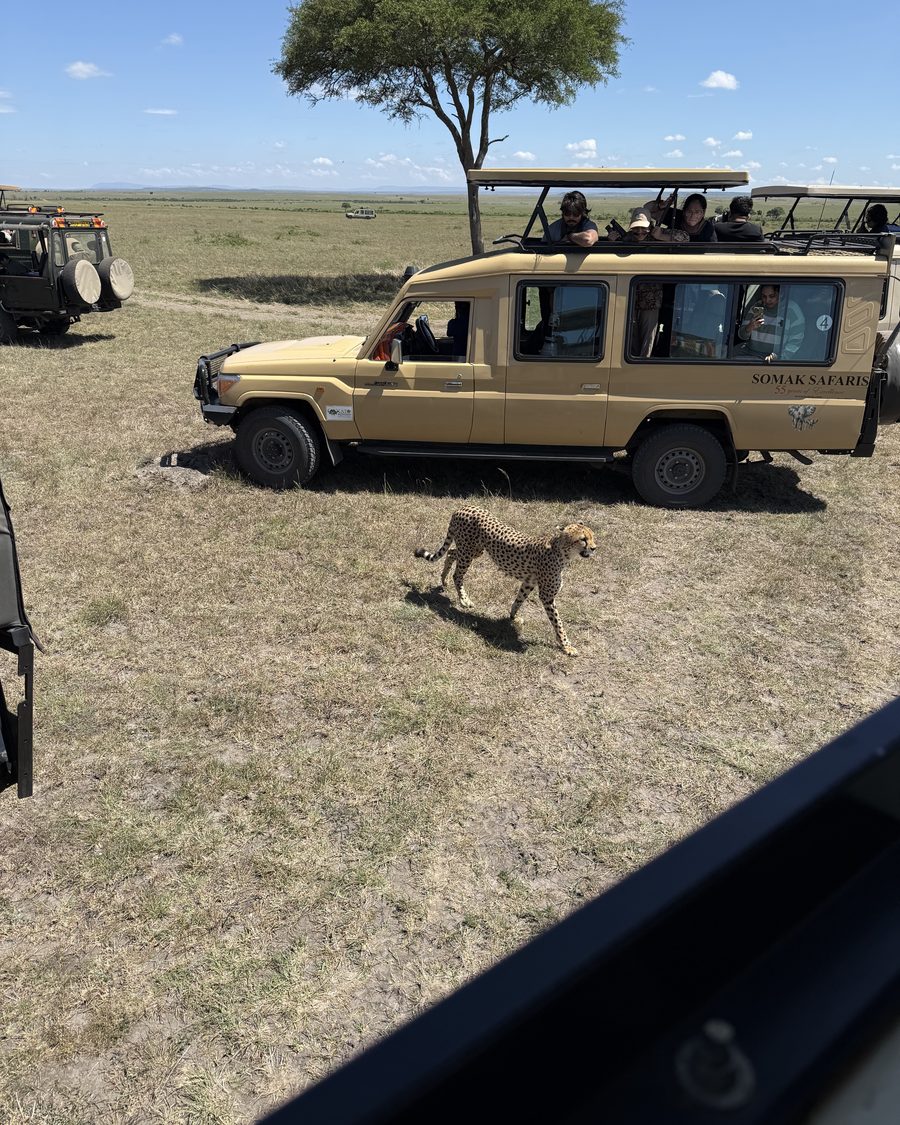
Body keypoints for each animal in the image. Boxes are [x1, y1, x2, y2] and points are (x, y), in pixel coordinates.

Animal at [415, 505, 597, 656]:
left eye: (592, 536)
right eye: (583, 539)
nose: (594, 548)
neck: (561, 552)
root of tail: (463, 507)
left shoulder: (529, 582)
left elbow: (519, 600)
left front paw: (513, 617)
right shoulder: (547, 596)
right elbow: (558, 623)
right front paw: (567, 646)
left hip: (474, 550)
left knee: (451, 552)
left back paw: (443, 580)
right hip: (469, 551)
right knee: (457, 574)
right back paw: (464, 600)